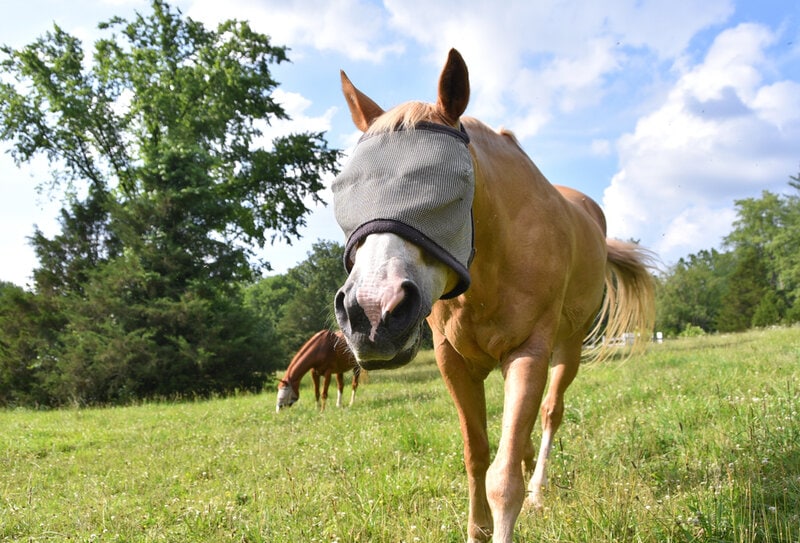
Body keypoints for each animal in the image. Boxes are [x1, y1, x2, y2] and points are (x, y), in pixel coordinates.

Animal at [330, 49, 656, 542]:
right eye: (346, 188)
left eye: (449, 185)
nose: (371, 313)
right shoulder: (453, 361)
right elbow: (477, 455)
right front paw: (476, 528)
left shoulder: (528, 351)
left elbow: (503, 480)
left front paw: (515, 498)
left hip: (569, 346)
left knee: (550, 412)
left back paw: (539, 487)